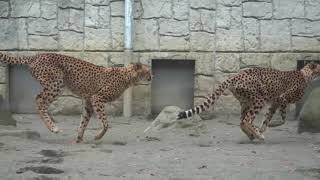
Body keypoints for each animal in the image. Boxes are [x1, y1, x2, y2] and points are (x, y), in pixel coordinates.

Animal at [0, 51, 152, 142]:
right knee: (39, 99)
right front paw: (98, 136)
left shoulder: (89, 101)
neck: (128, 76)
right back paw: (53, 127)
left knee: (38, 98)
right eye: (148, 71)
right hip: (57, 84)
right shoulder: (97, 98)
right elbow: (106, 123)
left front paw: (79, 138)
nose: (152, 76)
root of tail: (37, 55)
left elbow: (84, 121)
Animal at [176, 63, 320, 141]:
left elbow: (268, 118)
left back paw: (253, 134)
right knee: (246, 120)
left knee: (242, 121)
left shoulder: (274, 103)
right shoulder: (281, 98)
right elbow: (283, 118)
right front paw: (270, 126)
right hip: (259, 99)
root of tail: (235, 76)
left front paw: (263, 128)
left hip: (246, 102)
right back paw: (257, 135)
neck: (306, 75)